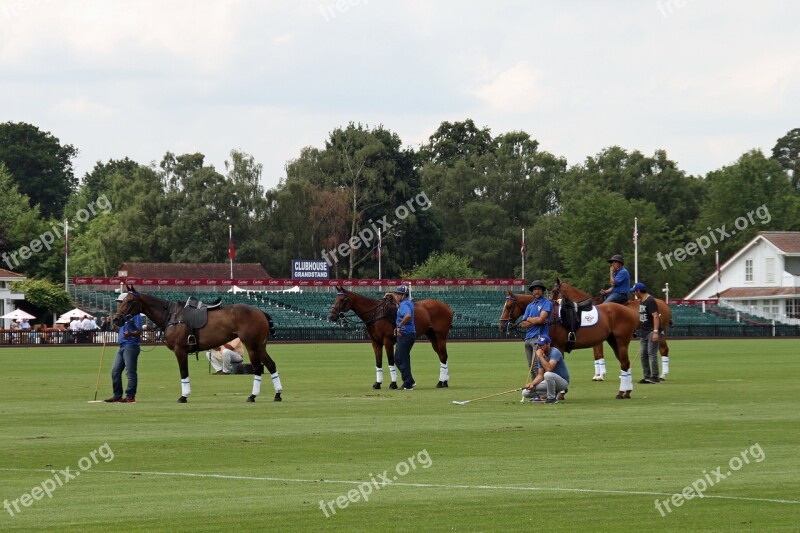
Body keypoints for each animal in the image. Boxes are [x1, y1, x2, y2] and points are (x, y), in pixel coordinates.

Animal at [114, 286, 282, 404]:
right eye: (122, 300)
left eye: (130, 301)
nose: (116, 319)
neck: (171, 315)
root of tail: (261, 312)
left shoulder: (180, 350)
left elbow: (183, 372)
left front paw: (184, 396)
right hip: (260, 346)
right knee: (271, 365)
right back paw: (278, 394)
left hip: (252, 345)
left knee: (258, 368)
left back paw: (252, 396)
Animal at [324, 286, 454, 386]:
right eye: (335, 298)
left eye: (342, 299)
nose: (331, 316)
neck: (375, 314)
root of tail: (447, 307)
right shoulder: (375, 342)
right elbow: (378, 362)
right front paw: (378, 383)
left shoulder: (388, 341)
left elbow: (391, 361)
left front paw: (393, 383)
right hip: (432, 336)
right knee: (442, 356)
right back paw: (445, 381)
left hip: (441, 336)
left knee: (443, 356)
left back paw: (441, 382)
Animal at [500, 282, 636, 400]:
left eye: (508, 306)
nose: (501, 325)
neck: (551, 317)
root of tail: (629, 310)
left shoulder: (558, 346)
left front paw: (560, 393)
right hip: (613, 341)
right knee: (625, 363)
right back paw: (627, 391)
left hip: (622, 342)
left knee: (624, 364)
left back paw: (621, 392)